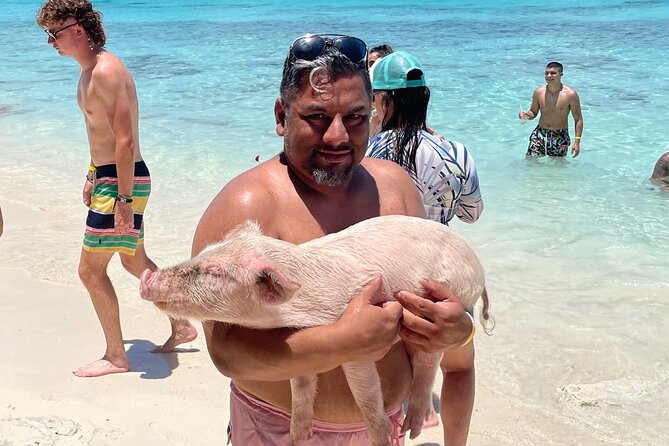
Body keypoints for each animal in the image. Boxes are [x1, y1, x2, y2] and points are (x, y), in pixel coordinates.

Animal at [140, 214, 490, 446]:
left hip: (446, 296)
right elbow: (301, 381)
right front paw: (298, 436)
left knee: (429, 359)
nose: (147, 279)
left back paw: (411, 429)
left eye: (215, 272)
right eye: (203, 252)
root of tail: (479, 268)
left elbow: (365, 391)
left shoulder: (358, 337)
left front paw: (381, 438)